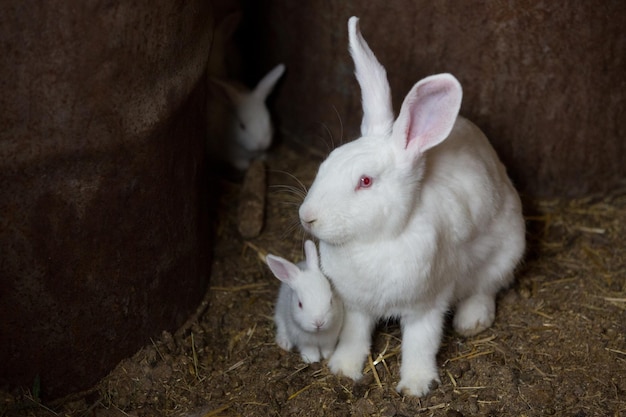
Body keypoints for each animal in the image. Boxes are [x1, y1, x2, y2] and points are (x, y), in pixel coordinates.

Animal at [300, 15, 524, 394]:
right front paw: (343, 369)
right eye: (326, 162)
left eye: (365, 181)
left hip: (506, 251)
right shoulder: (356, 304)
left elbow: (421, 341)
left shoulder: (427, 304)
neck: (377, 241)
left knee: (486, 288)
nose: (307, 217)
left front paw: (416, 385)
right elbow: (354, 335)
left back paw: (471, 321)